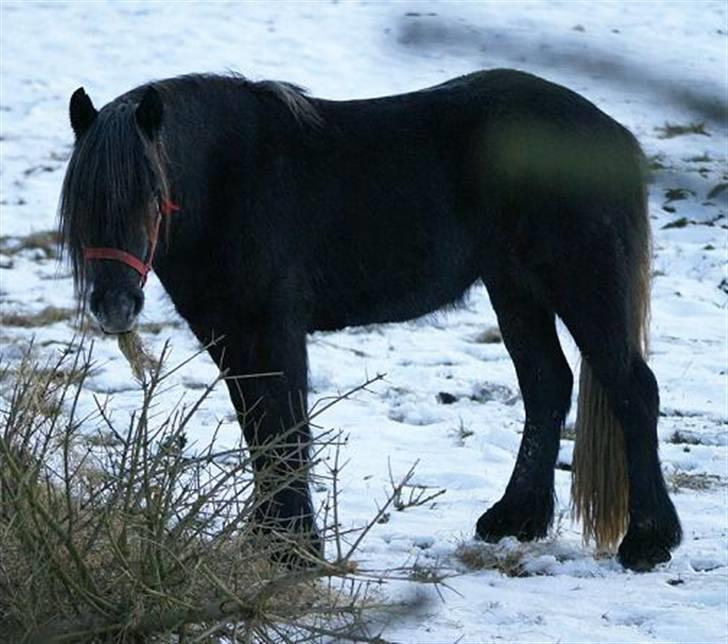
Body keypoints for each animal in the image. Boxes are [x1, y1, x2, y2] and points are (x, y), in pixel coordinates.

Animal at [58, 69, 682, 572]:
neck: (230, 182)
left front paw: (295, 550)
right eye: (83, 202)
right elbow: (260, 430)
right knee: (547, 384)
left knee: (633, 389)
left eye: (150, 196)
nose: (114, 306)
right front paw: (269, 541)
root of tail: (611, 135)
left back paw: (649, 541)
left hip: (581, 284)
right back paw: (514, 519)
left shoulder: (273, 328)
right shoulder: (230, 333)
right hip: (516, 288)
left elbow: (285, 430)